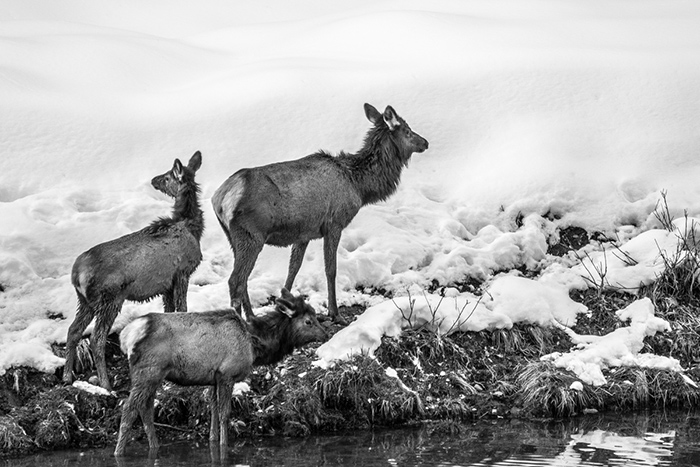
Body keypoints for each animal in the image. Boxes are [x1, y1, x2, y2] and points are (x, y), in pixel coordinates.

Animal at [63, 153, 204, 392]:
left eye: (167, 177)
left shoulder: (167, 284)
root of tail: (76, 273)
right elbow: (183, 309)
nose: (154, 180)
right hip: (110, 298)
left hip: (86, 301)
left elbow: (170, 312)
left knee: (73, 331)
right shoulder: (182, 272)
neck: (191, 227)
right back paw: (106, 385)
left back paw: (66, 376)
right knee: (96, 339)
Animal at [113, 288, 326, 458]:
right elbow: (225, 414)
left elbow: (213, 411)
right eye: (309, 321)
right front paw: (224, 446)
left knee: (146, 409)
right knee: (129, 408)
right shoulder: (227, 374)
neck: (255, 345)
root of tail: (125, 337)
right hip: (149, 371)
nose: (325, 334)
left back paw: (154, 446)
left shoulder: (213, 378)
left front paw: (213, 441)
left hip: (153, 375)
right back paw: (118, 452)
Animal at [211, 105, 430, 326]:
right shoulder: (334, 223)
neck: (359, 187)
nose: (426, 142)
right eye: (407, 130)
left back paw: (253, 317)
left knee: (243, 279)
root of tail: (220, 198)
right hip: (251, 235)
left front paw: (283, 306)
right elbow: (330, 270)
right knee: (235, 280)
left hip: (233, 237)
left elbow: (293, 268)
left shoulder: (304, 233)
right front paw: (335, 313)